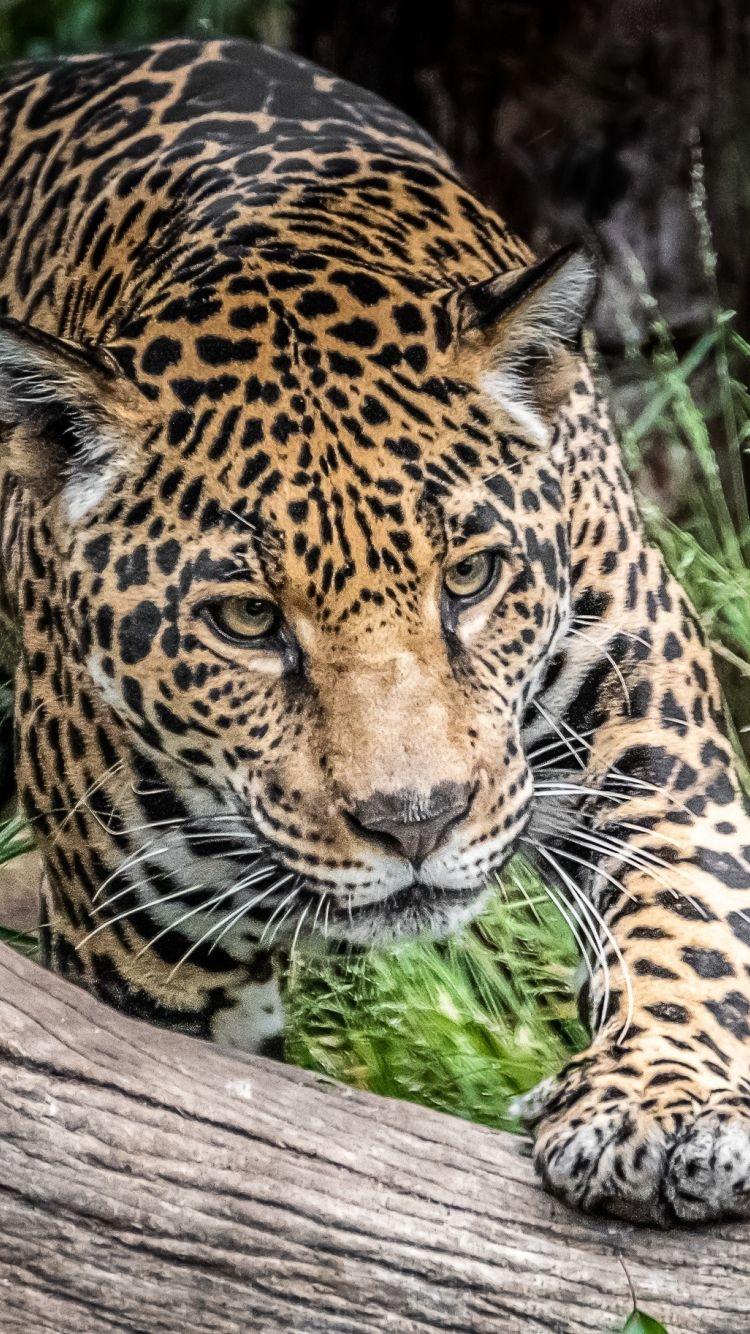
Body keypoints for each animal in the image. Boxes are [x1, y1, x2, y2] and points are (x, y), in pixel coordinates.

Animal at [1, 36, 750, 1228]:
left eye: (473, 576)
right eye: (247, 618)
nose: (416, 823)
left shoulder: (647, 708)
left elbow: (685, 905)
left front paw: (661, 1102)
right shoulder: (138, 946)